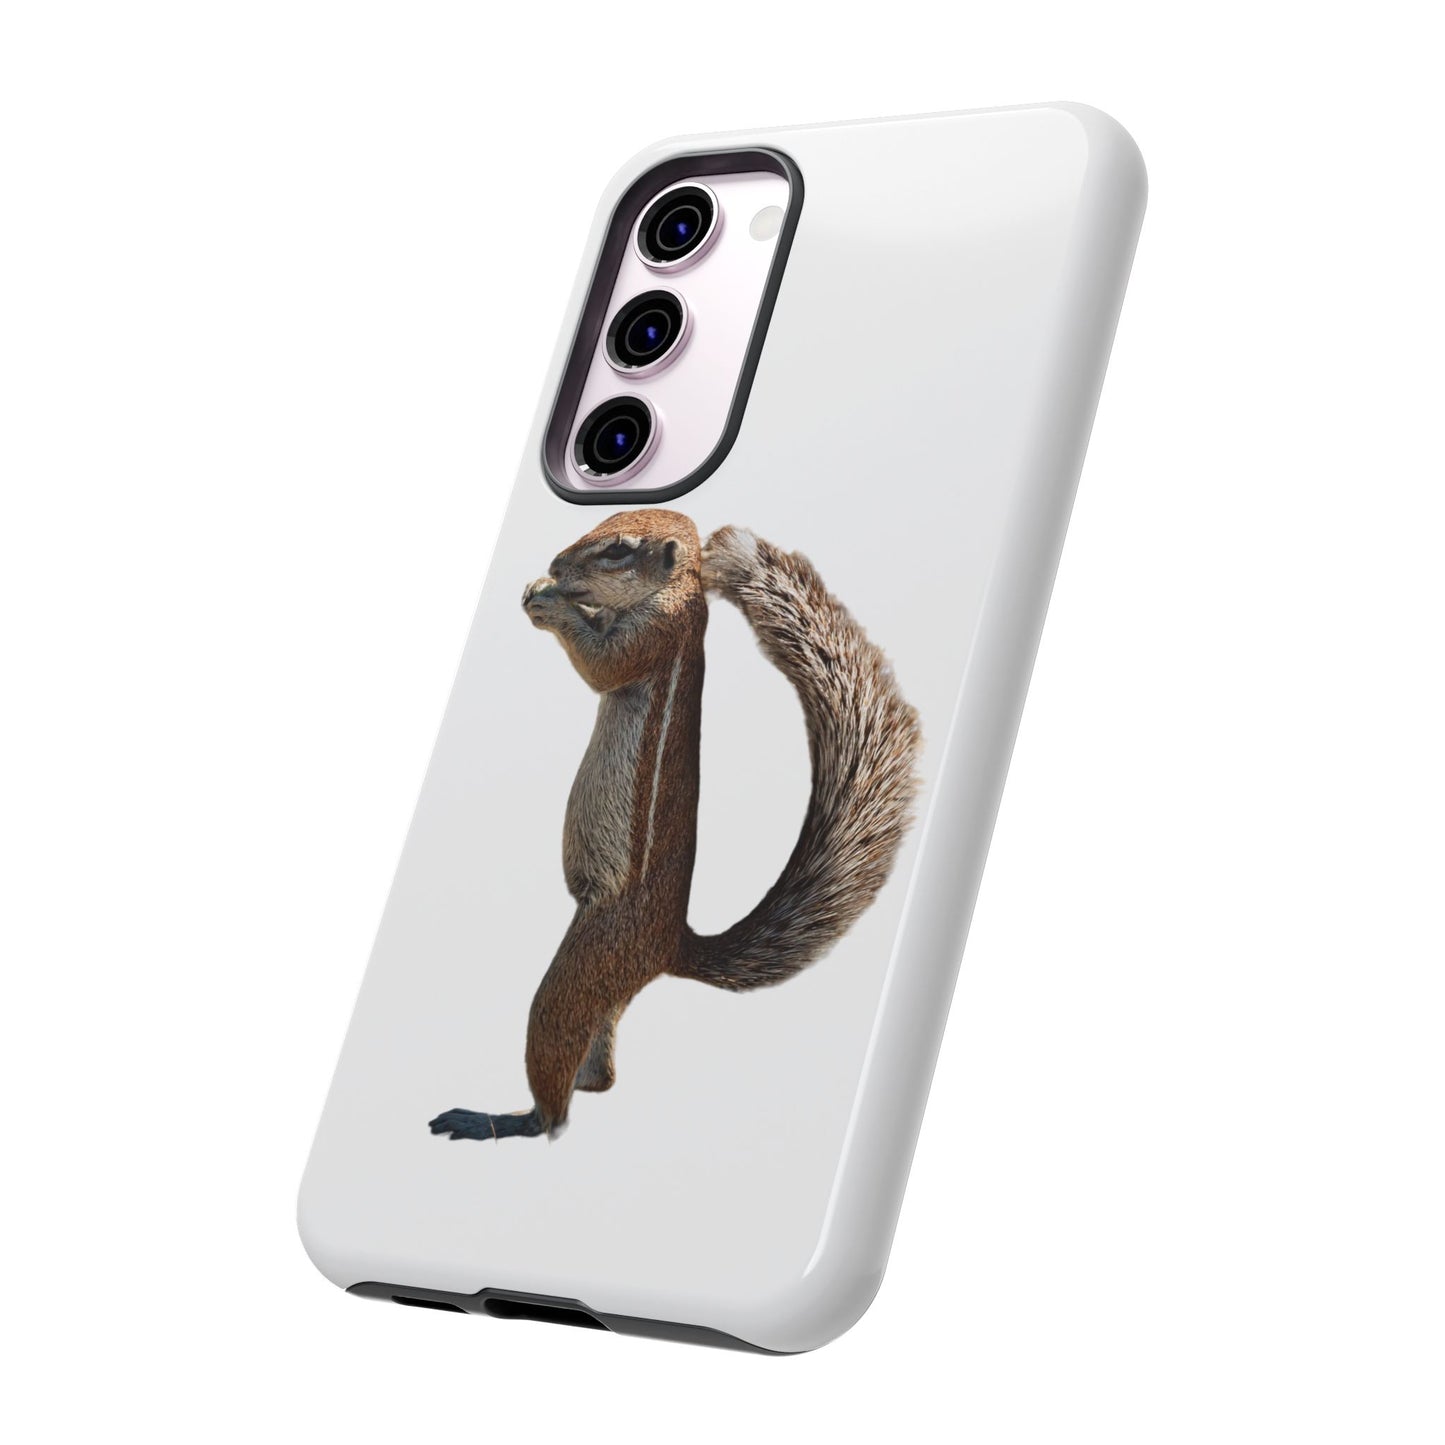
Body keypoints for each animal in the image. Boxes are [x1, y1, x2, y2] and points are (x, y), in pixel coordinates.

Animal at [429, 508, 921, 1142]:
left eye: (616, 548)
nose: (556, 566)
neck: (678, 593)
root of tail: (668, 945)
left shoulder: (655, 633)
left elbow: (602, 664)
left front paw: (549, 601)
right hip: (603, 988)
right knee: (603, 1062)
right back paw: (587, 1082)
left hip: (587, 960)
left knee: (556, 1090)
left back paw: (504, 1118)